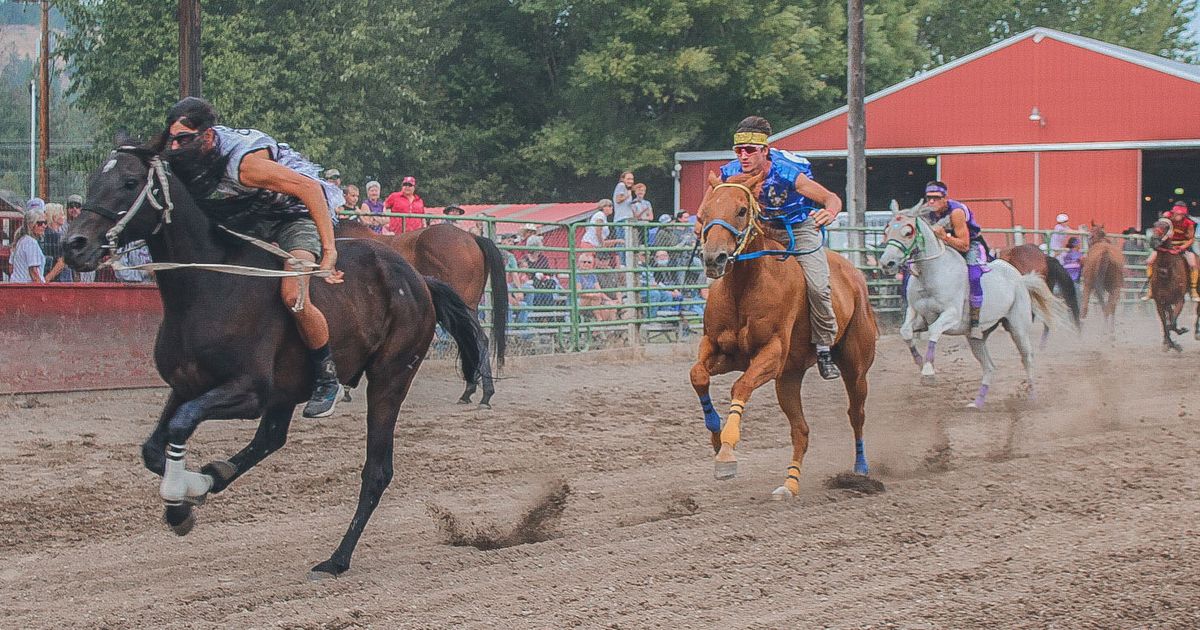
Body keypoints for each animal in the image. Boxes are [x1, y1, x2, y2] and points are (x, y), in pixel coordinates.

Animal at [63, 148, 484, 573]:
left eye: (130, 182)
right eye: (94, 179)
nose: (74, 244)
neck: (210, 286)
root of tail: (419, 280)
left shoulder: (249, 393)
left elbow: (181, 425)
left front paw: (182, 502)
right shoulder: (187, 385)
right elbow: (155, 447)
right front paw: (191, 490)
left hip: (390, 378)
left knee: (376, 471)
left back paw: (336, 559)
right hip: (291, 391)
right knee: (271, 438)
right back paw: (217, 475)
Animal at [691, 170, 878, 496]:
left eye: (741, 210)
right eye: (705, 212)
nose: (714, 259)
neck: (744, 287)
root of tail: (855, 276)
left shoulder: (772, 352)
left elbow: (740, 386)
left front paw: (726, 453)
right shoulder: (720, 349)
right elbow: (698, 375)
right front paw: (715, 437)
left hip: (855, 369)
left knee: (856, 415)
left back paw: (860, 470)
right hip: (788, 379)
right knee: (801, 430)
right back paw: (790, 484)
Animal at [878, 204, 1065, 405]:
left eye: (908, 232)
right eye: (886, 230)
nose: (887, 263)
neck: (931, 274)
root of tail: (1021, 279)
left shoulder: (952, 315)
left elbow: (935, 331)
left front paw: (928, 372)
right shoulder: (917, 314)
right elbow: (905, 331)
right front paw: (921, 363)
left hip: (1018, 328)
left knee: (1027, 358)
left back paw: (1031, 396)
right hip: (977, 338)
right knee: (990, 366)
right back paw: (977, 402)